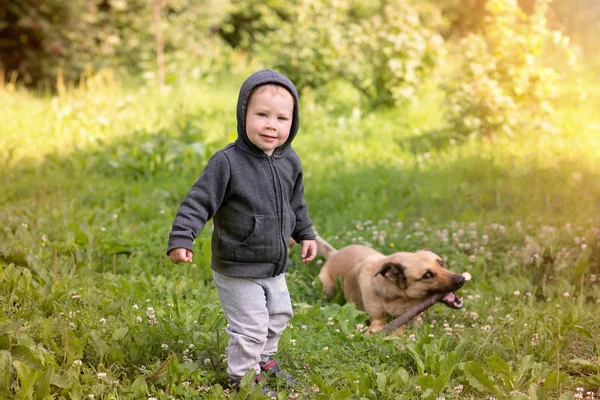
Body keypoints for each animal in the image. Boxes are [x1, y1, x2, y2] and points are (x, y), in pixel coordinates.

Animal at [316, 234, 466, 334]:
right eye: (427, 275)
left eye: (441, 263)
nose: (462, 279)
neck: (398, 298)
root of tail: (334, 254)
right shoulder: (377, 320)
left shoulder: (415, 319)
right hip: (328, 288)